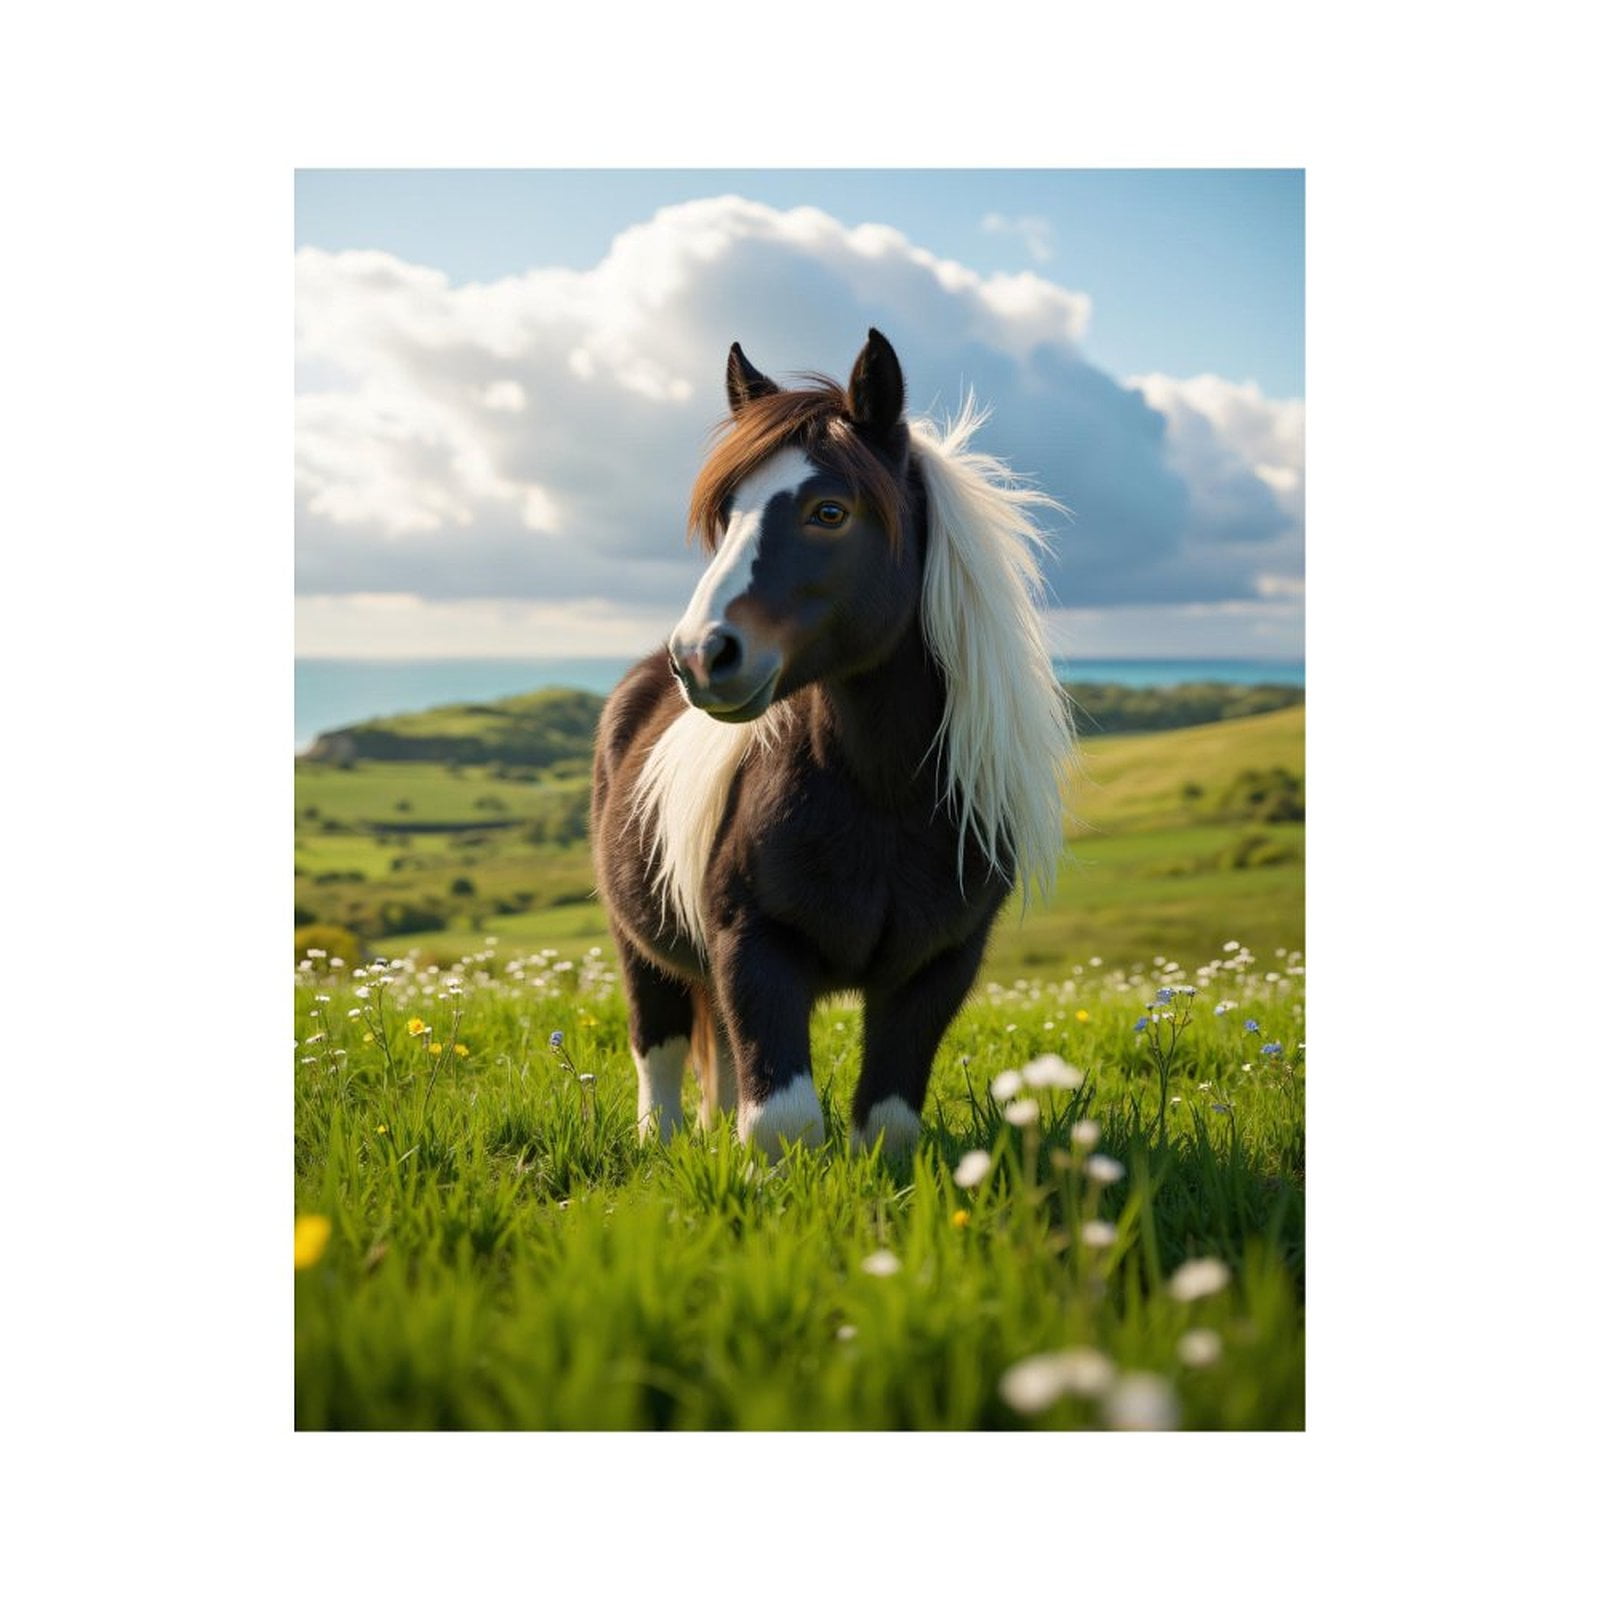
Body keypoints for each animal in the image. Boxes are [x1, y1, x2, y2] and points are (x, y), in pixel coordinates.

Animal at [591, 329, 1075, 1157]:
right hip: (639, 946)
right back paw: (662, 1140)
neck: (884, 795)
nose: (701, 656)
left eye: (829, 511)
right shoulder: (755, 948)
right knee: (659, 1046)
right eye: (727, 513)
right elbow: (782, 1121)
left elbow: (886, 1122)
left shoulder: (938, 967)